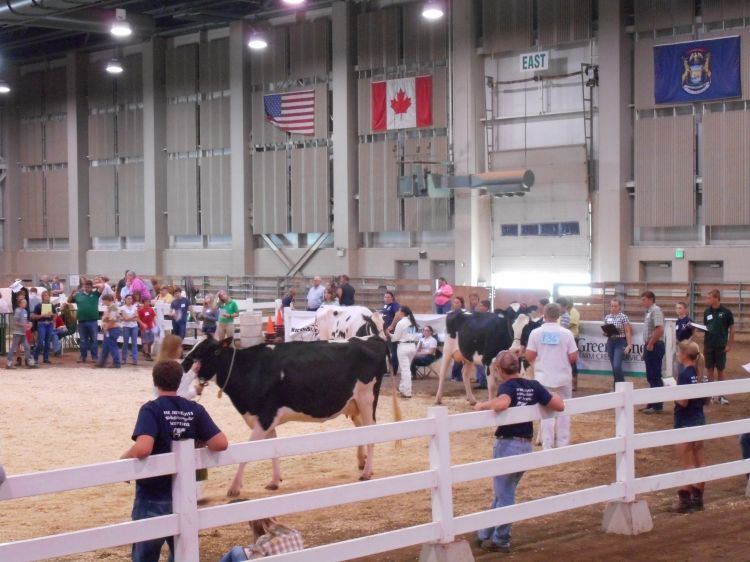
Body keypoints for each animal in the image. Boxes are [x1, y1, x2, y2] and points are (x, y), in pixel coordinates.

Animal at [185, 334, 390, 492]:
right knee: (361, 431)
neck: (250, 369)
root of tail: (371, 338)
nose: (185, 363)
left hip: (367, 399)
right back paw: (362, 463)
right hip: (354, 404)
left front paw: (234, 488)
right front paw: (274, 481)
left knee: (372, 433)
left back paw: (366, 472)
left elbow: (248, 452)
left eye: (204, 351)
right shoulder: (265, 420)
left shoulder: (265, 418)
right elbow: (273, 449)